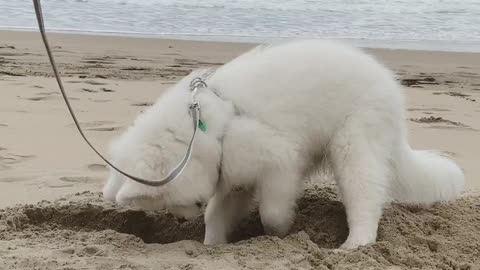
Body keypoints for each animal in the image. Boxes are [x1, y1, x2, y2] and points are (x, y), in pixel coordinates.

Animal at [102, 40, 464, 249]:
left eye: (170, 201)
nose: (179, 221)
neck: (207, 128)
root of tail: (393, 92)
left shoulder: (279, 160)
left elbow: (272, 211)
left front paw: (278, 234)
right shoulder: (233, 175)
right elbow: (218, 214)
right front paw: (212, 245)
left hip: (354, 143)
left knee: (366, 197)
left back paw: (355, 244)